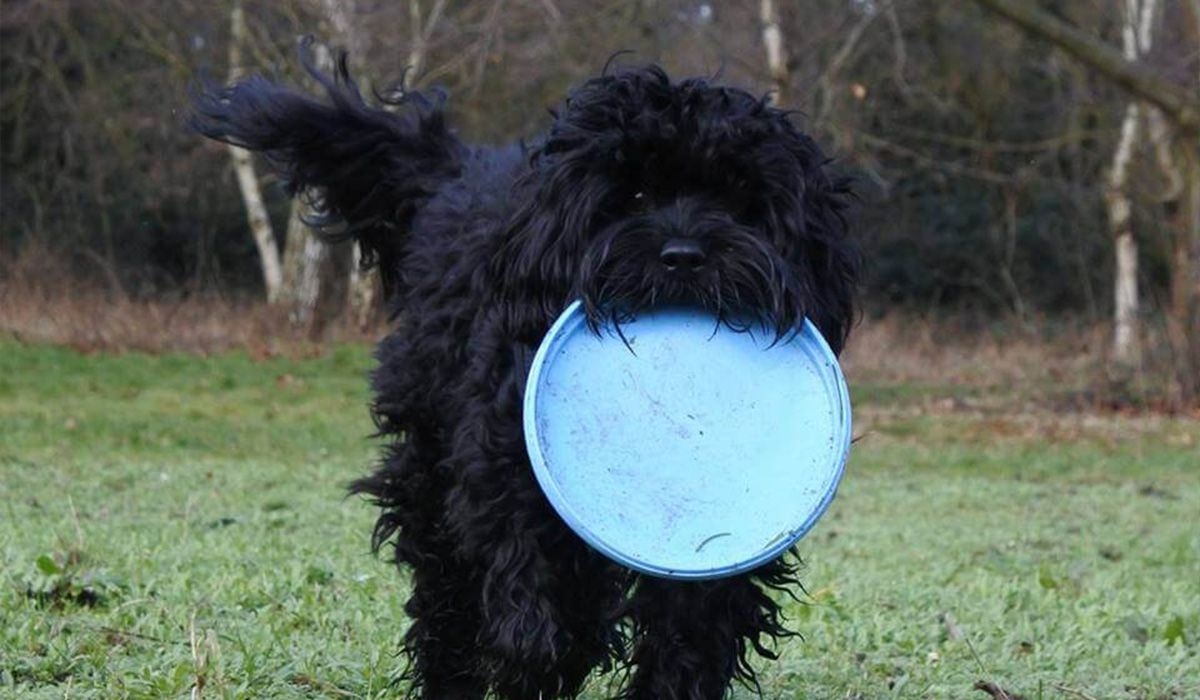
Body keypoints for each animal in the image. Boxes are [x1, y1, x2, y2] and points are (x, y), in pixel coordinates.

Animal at [194, 50, 854, 700]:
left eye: (740, 200)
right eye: (634, 195)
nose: (684, 256)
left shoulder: (716, 565)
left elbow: (689, 640)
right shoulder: (504, 474)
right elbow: (534, 604)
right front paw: (543, 658)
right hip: (430, 471)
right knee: (445, 598)